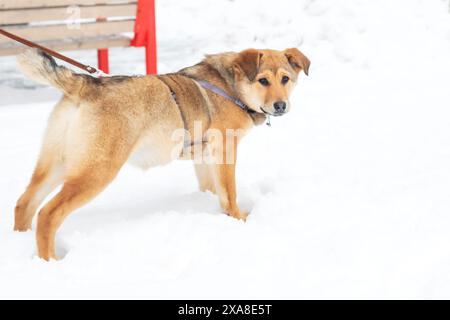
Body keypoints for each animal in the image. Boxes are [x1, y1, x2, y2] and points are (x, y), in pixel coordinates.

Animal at [14, 47, 310, 260]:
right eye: (263, 80)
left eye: (285, 79)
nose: (281, 105)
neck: (232, 88)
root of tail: (86, 84)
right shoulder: (225, 151)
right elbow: (229, 194)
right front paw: (238, 219)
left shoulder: (205, 158)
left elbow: (212, 190)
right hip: (96, 171)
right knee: (48, 214)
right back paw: (50, 261)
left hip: (55, 165)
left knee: (24, 204)